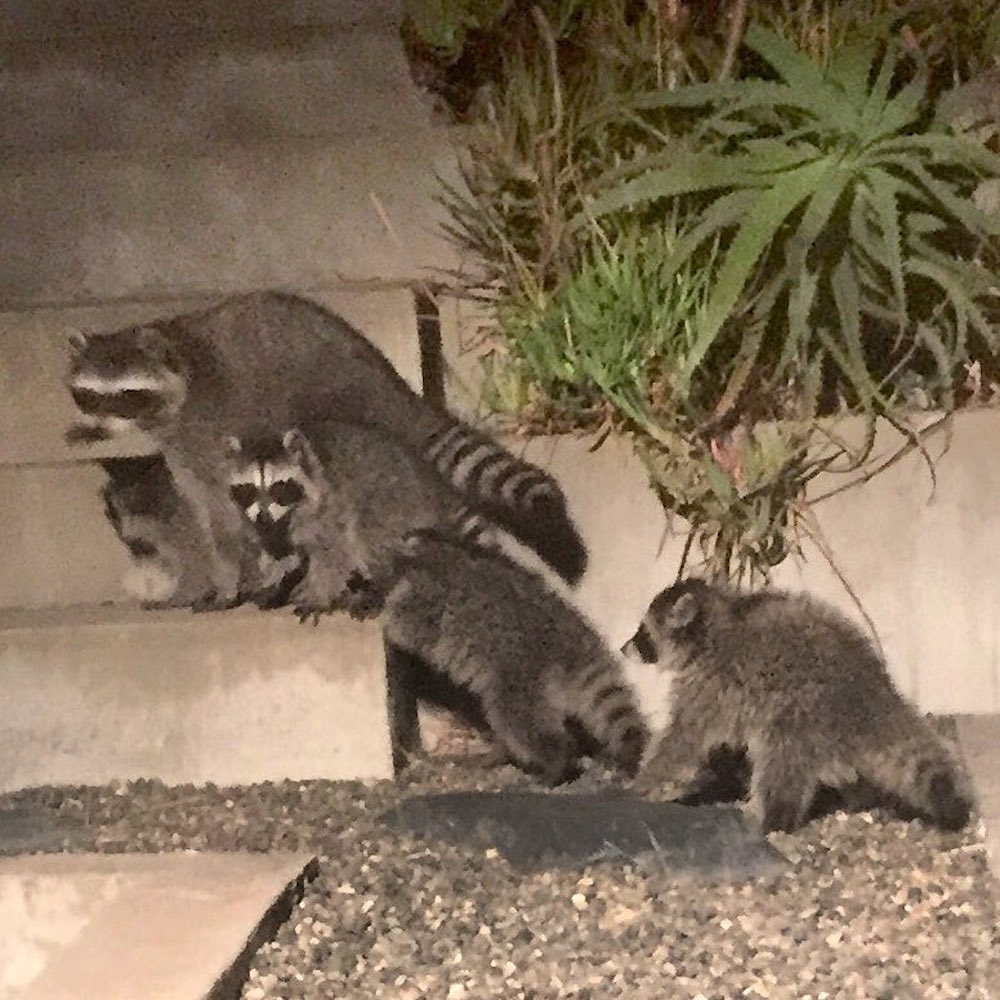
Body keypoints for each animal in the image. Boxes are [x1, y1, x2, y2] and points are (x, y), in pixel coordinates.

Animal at [65, 291, 587, 609]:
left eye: (126, 395)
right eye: (89, 395)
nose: (96, 428)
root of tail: (394, 391)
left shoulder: (205, 430)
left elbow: (221, 518)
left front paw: (229, 578)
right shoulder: (179, 444)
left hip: (321, 410)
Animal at [336, 530, 650, 786]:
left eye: (359, 579)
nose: (346, 587)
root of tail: (572, 642)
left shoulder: (428, 601)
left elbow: (407, 625)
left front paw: (378, 609)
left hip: (520, 676)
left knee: (522, 724)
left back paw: (555, 762)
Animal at [626, 579, 974, 833]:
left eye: (643, 632)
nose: (623, 648)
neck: (712, 629)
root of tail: (871, 694)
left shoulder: (709, 687)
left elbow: (682, 739)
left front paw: (643, 780)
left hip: (802, 714)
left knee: (779, 764)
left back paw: (774, 817)